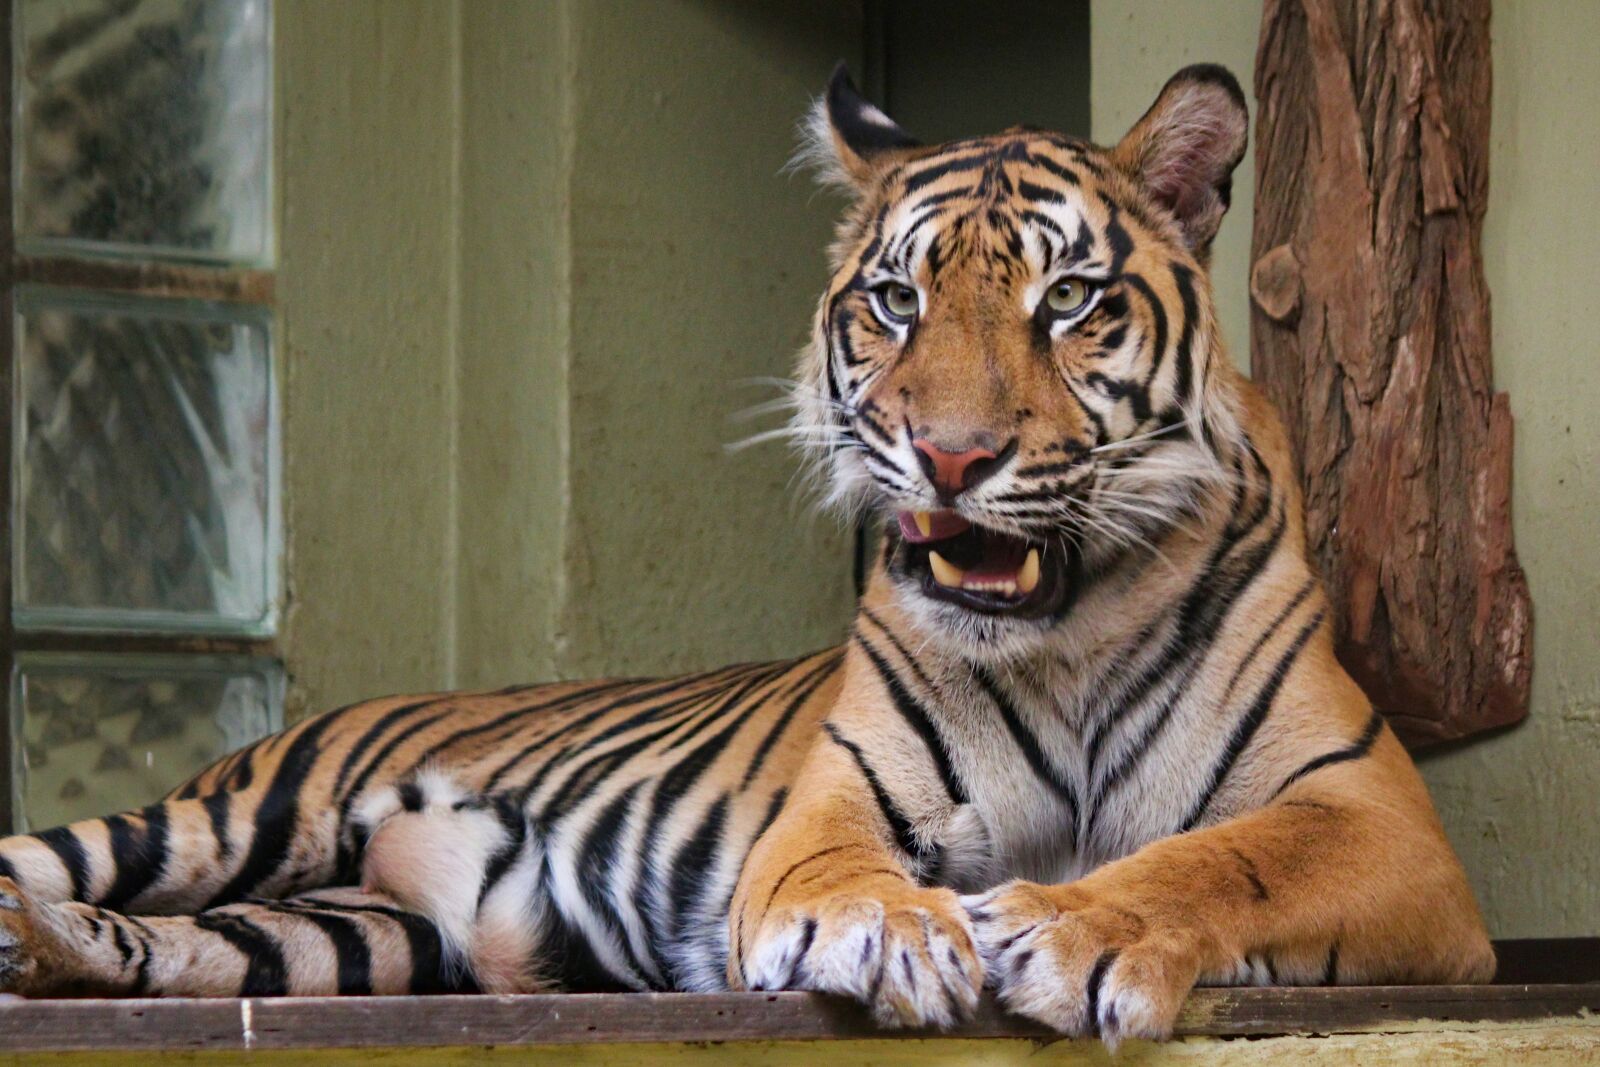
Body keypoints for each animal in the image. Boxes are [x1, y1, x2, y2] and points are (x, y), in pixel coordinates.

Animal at [0, 63, 1493, 1045]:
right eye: (894, 300)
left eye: (1069, 299)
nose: (952, 455)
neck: (1062, 636)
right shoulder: (834, 802)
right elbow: (844, 869)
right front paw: (893, 927)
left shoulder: (1382, 822)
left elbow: (1222, 857)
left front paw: (1080, 926)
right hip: (244, 814)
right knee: (66, 854)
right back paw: (30, 921)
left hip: (350, 929)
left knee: (187, 948)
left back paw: (51, 953)